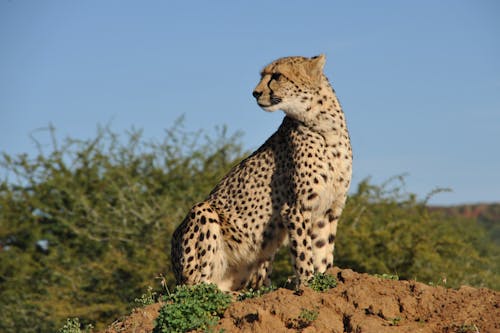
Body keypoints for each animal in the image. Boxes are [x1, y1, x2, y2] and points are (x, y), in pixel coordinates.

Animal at [171, 54, 352, 290]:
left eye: (277, 75)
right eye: (263, 76)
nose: (255, 93)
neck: (324, 126)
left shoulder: (329, 210)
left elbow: (323, 251)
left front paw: (323, 280)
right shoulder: (295, 208)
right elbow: (303, 251)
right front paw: (306, 284)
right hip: (203, 212)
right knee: (196, 286)